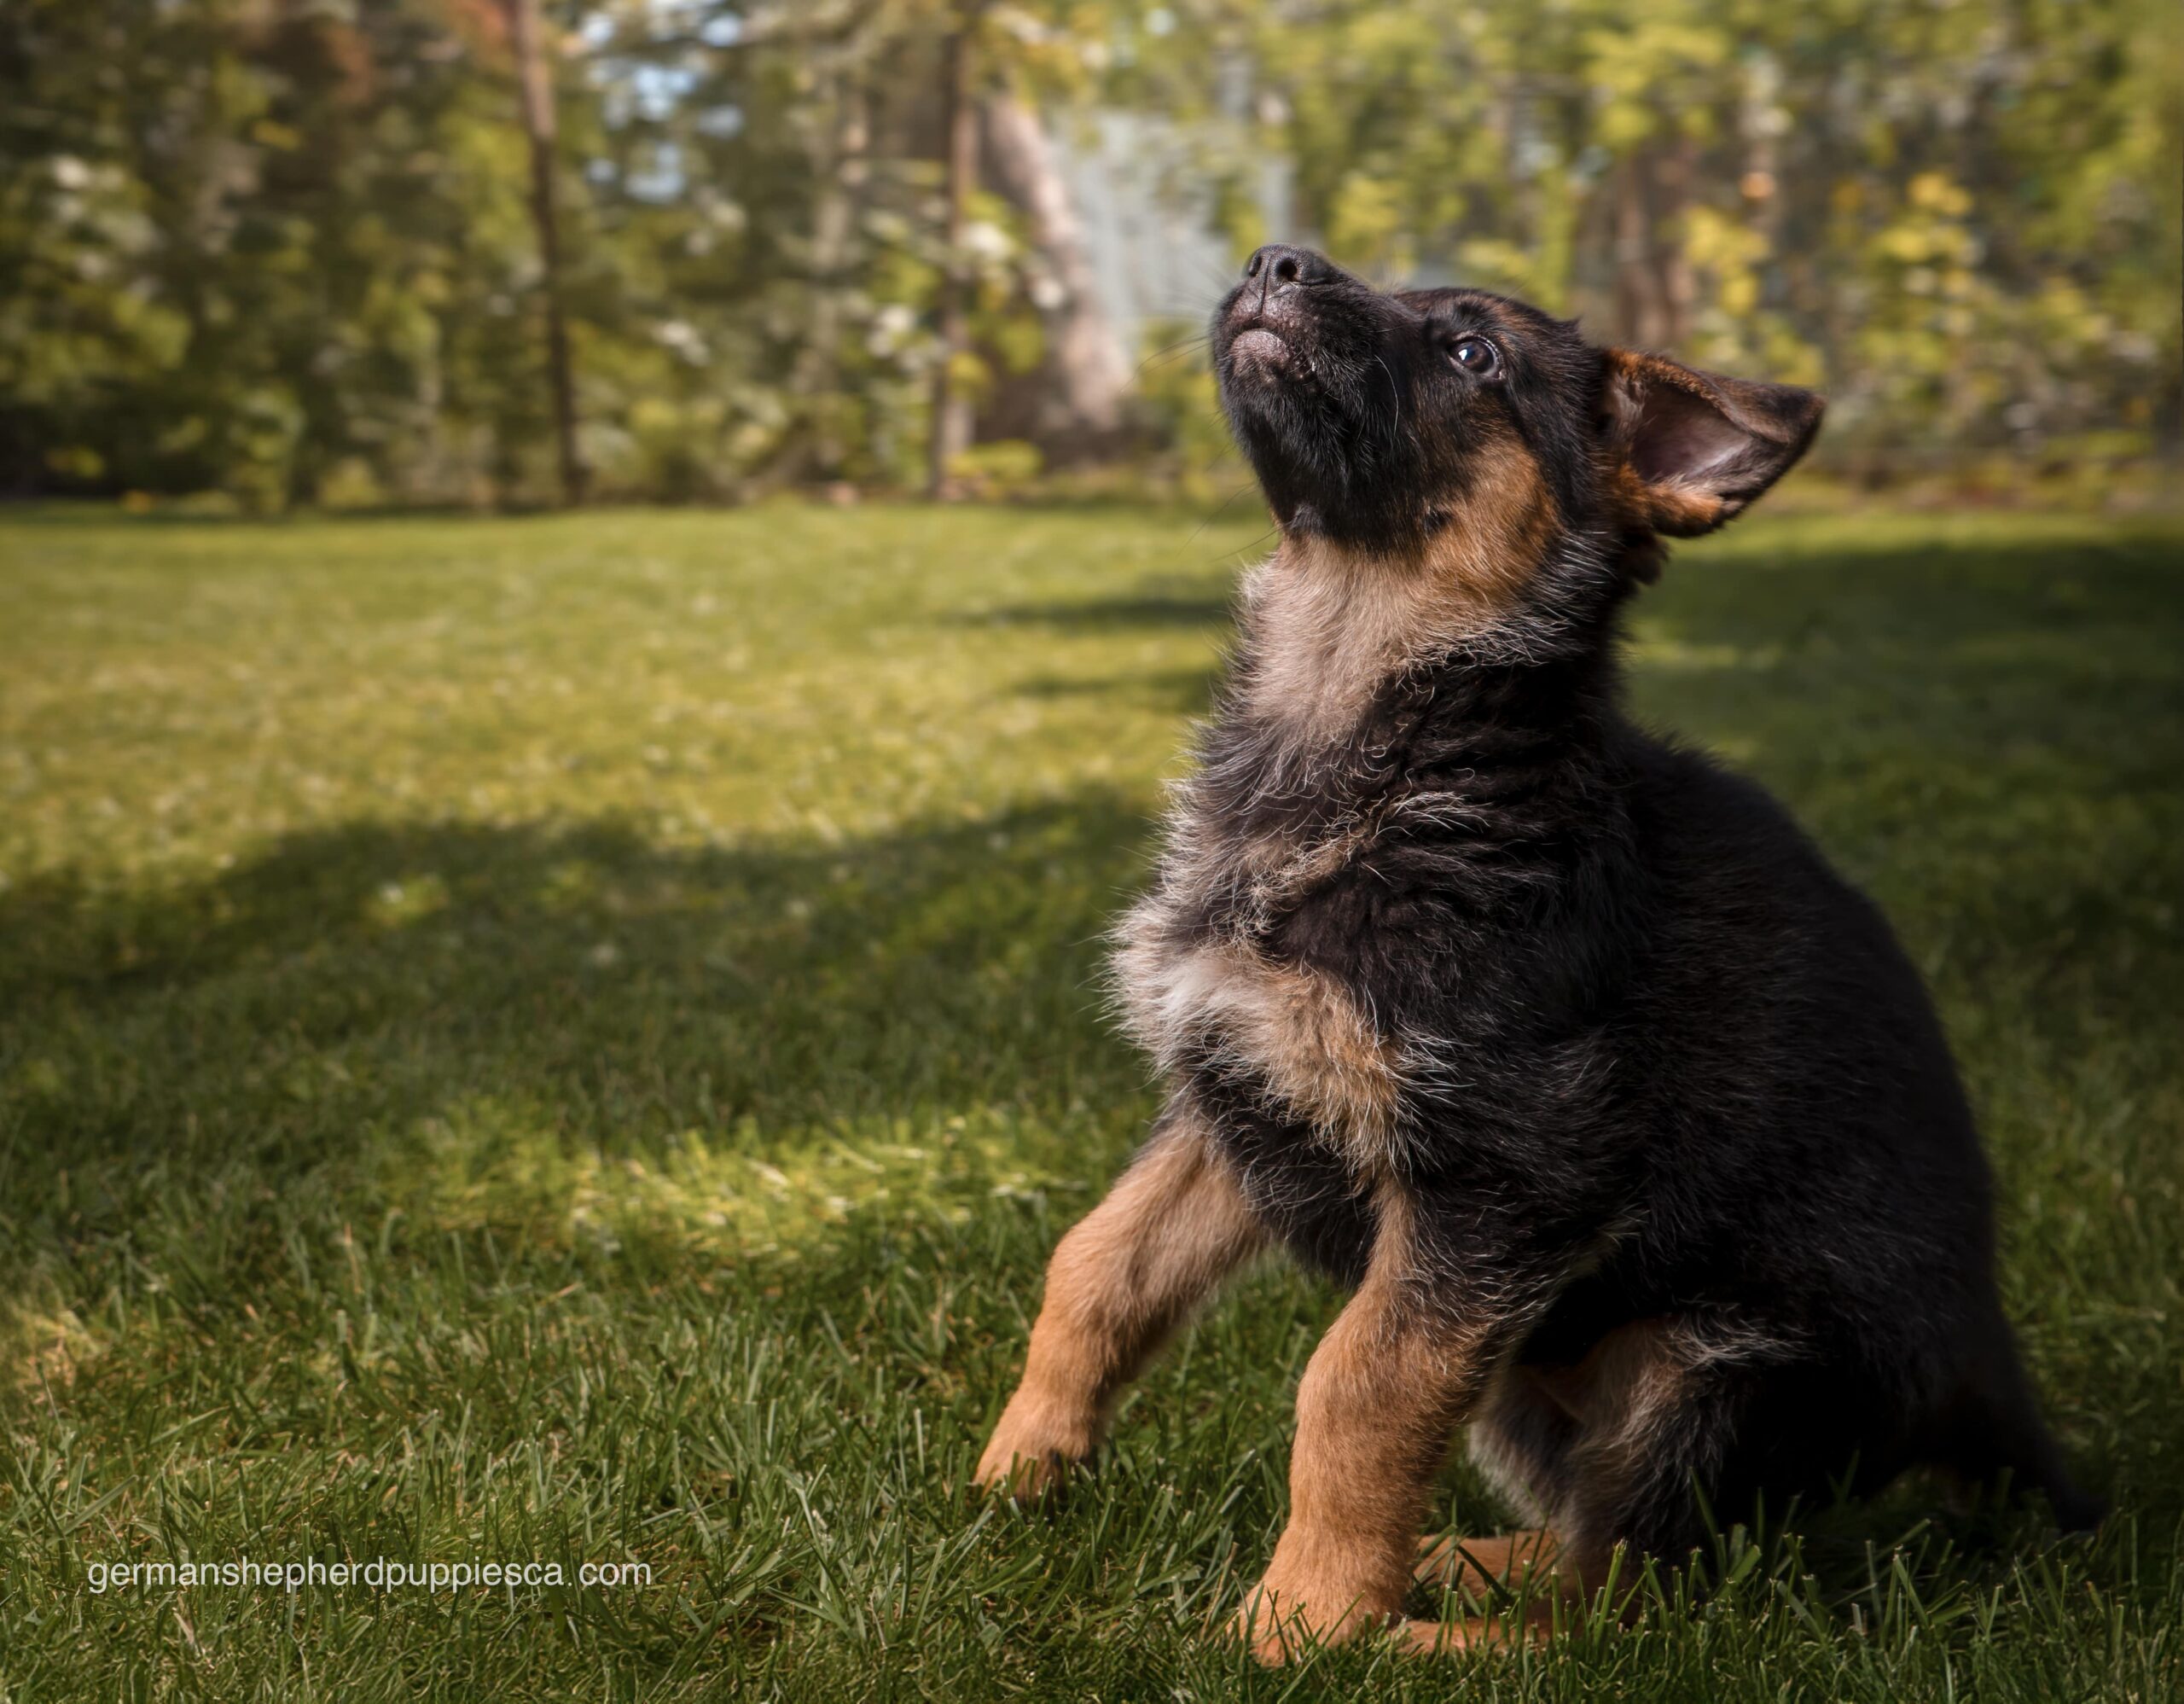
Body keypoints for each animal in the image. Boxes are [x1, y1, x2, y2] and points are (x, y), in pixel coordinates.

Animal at [974, 245, 2099, 1659]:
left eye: (1474, 356)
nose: (1278, 260)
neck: (1362, 731)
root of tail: (1986, 1372)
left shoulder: (1503, 1176)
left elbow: (1355, 1385)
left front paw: (1302, 1624)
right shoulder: (1240, 1092)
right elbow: (1096, 1266)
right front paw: (1022, 1467)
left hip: (1705, 1372)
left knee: (1626, 1602)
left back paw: (1417, 1643)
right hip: (1530, 1372)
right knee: (1579, 1552)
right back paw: (1454, 1565)